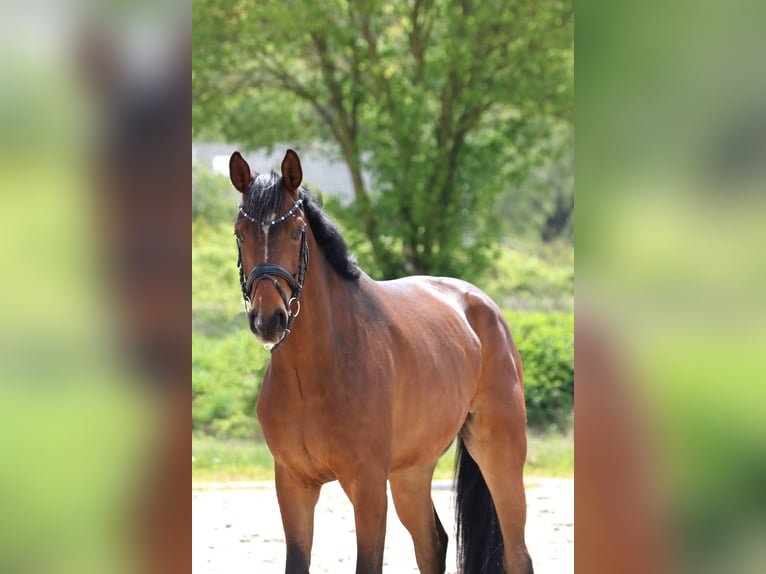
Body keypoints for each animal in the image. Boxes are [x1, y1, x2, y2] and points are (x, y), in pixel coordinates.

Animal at [228, 150, 536, 574]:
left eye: (295, 231)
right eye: (241, 232)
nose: (268, 320)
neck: (315, 370)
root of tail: (483, 306)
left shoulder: (368, 485)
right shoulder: (292, 483)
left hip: (499, 452)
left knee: (517, 554)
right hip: (411, 473)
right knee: (432, 544)